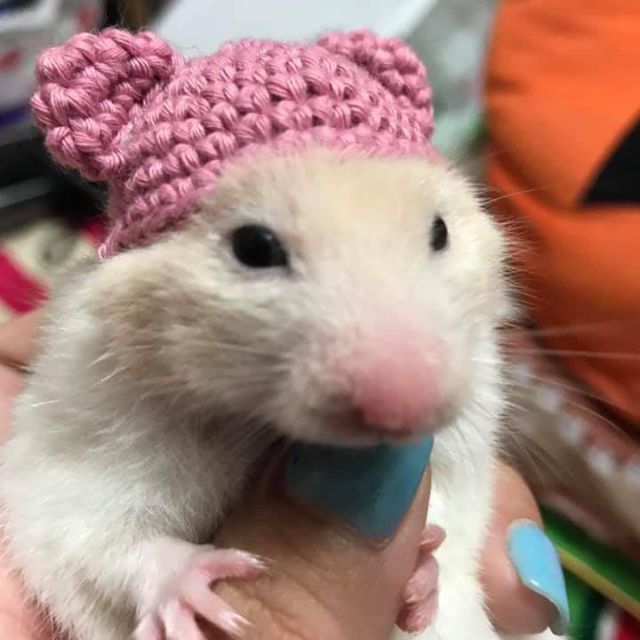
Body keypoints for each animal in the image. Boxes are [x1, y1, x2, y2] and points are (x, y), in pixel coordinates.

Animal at [1, 147, 558, 640]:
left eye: (440, 231)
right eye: (255, 247)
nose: (408, 410)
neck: (251, 424)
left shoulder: (464, 452)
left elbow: (450, 523)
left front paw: (422, 573)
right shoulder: (82, 453)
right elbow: (105, 540)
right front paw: (203, 599)